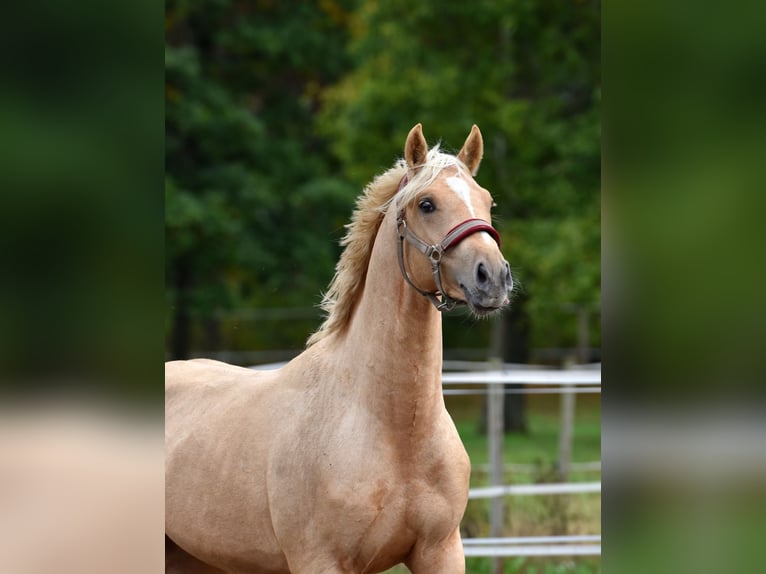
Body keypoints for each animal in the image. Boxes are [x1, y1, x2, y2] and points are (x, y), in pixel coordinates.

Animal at [168, 124, 516, 572]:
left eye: (487, 201)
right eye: (427, 203)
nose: (493, 277)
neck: (394, 430)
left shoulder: (441, 551)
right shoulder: (321, 560)